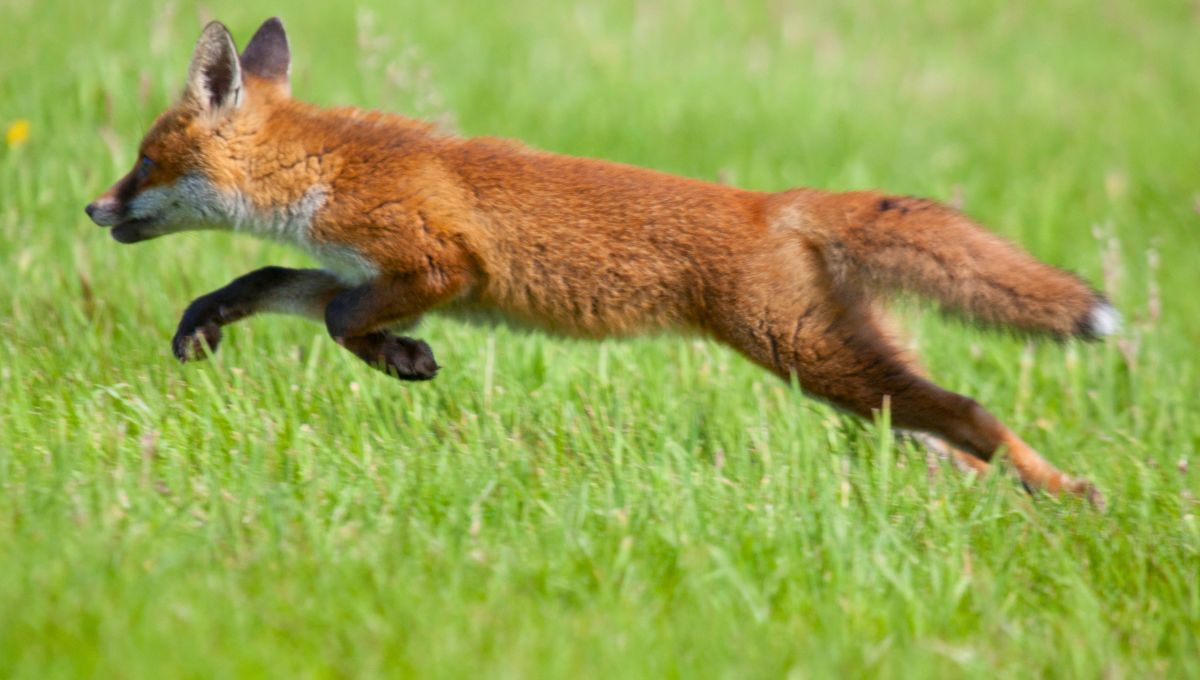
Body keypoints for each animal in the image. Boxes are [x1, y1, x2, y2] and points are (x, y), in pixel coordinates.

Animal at [87, 18, 1118, 506]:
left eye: (143, 159)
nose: (92, 208)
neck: (324, 170)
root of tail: (772, 204)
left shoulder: (440, 264)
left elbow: (345, 322)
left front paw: (406, 361)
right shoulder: (359, 268)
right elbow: (265, 283)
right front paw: (206, 321)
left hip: (808, 358)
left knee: (973, 414)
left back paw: (1067, 496)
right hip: (854, 375)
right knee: (945, 437)